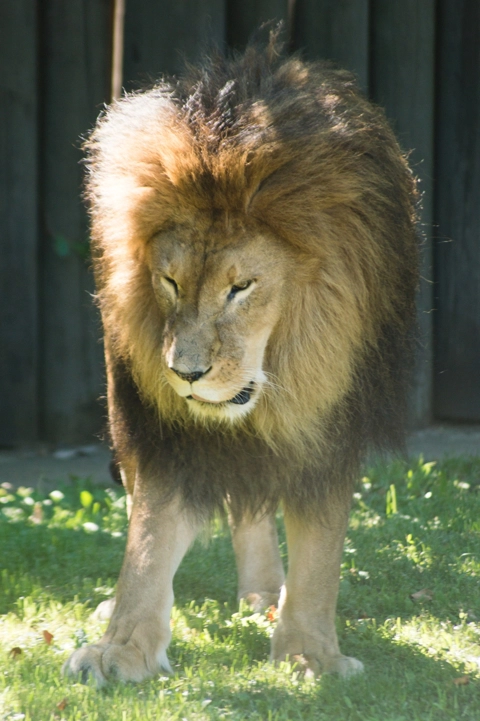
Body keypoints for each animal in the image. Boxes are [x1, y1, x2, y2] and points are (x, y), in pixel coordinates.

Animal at [63, 35, 418, 685]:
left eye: (241, 287)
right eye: (170, 281)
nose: (185, 374)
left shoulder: (331, 424)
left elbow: (320, 551)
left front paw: (308, 653)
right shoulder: (164, 433)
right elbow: (149, 539)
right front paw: (120, 648)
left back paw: (264, 594)